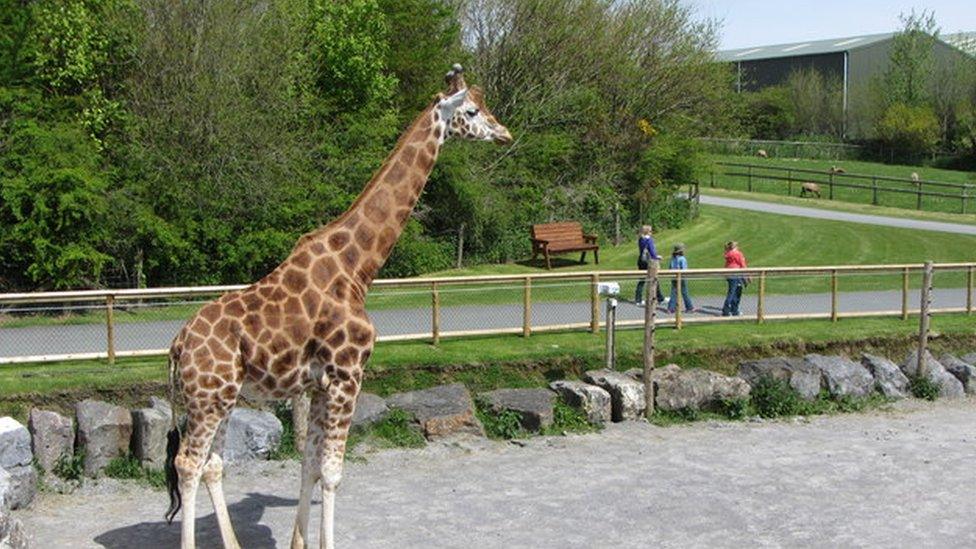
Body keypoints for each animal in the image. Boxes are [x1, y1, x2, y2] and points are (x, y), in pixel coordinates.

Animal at [162, 65, 510, 548]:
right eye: (473, 110)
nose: (505, 134)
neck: (357, 266)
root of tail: (177, 346)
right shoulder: (348, 372)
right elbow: (331, 472)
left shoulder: (319, 383)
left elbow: (309, 463)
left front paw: (299, 541)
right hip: (208, 396)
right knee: (188, 464)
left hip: (221, 396)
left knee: (212, 464)